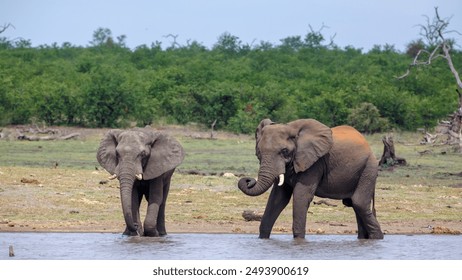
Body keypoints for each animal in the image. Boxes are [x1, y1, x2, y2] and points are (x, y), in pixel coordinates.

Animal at [236, 118, 384, 238]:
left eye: (284, 151)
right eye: (259, 153)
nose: (249, 180)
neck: (292, 129)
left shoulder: (314, 163)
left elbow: (301, 196)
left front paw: (299, 240)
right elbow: (278, 198)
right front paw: (263, 238)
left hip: (369, 168)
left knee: (359, 203)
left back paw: (378, 238)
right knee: (354, 204)